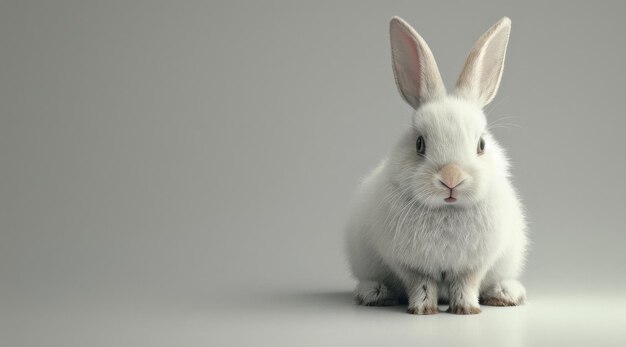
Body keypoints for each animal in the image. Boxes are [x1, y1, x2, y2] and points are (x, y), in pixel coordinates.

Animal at [346, 16, 528, 316]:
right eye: (420, 143)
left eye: (481, 144)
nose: (451, 178)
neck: (447, 210)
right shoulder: (410, 265)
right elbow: (421, 285)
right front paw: (423, 310)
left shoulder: (474, 265)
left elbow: (466, 285)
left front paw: (466, 309)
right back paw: (375, 293)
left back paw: (505, 294)